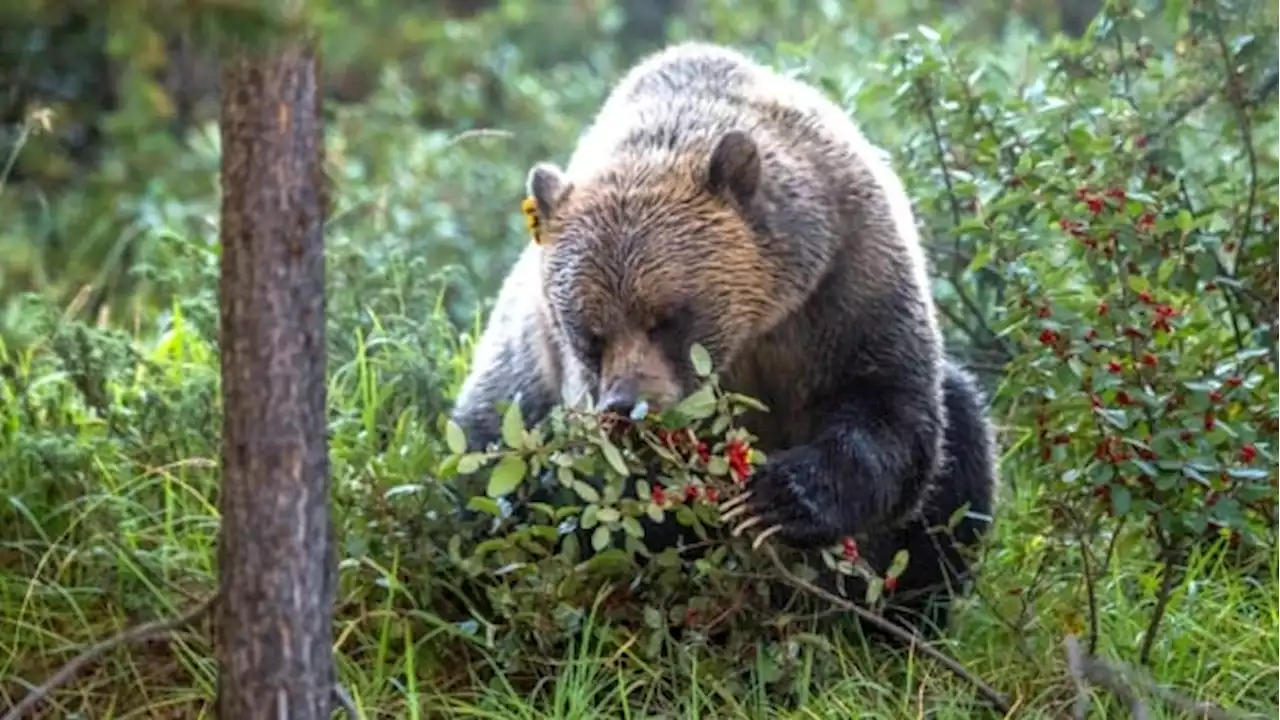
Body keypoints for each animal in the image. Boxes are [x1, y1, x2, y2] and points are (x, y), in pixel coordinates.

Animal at [450, 39, 998, 635]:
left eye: (666, 317)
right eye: (588, 333)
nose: (627, 407)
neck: (757, 324)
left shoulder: (847, 281)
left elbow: (891, 413)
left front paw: (776, 499)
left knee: (961, 449)